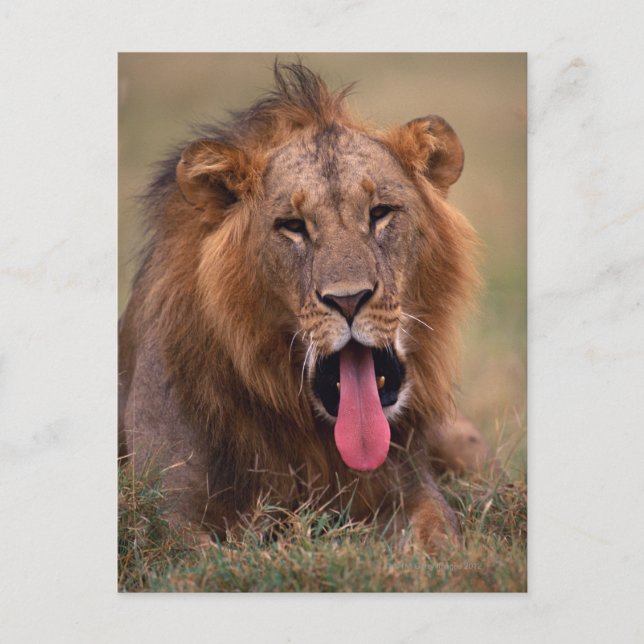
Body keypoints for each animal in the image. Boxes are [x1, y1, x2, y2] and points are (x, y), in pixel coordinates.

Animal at [119, 63, 488, 552]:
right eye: (293, 226)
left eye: (380, 212)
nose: (348, 299)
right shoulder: (163, 513)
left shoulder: (411, 485)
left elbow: (440, 533)